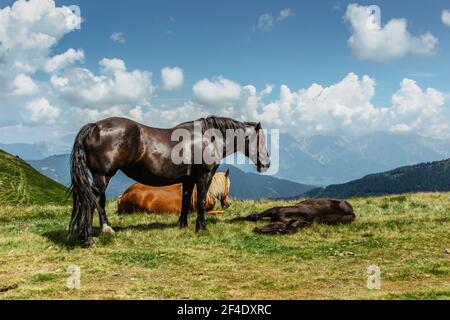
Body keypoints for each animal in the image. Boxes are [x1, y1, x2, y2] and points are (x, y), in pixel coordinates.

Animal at [67, 116, 270, 246]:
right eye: (260, 140)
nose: (267, 163)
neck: (208, 138)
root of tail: (94, 126)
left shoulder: (188, 180)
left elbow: (186, 202)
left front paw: (183, 225)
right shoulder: (204, 176)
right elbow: (201, 202)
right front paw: (201, 228)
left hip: (102, 176)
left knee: (98, 201)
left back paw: (105, 229)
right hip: (103, 175)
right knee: (91, 201)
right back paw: (87, 238)